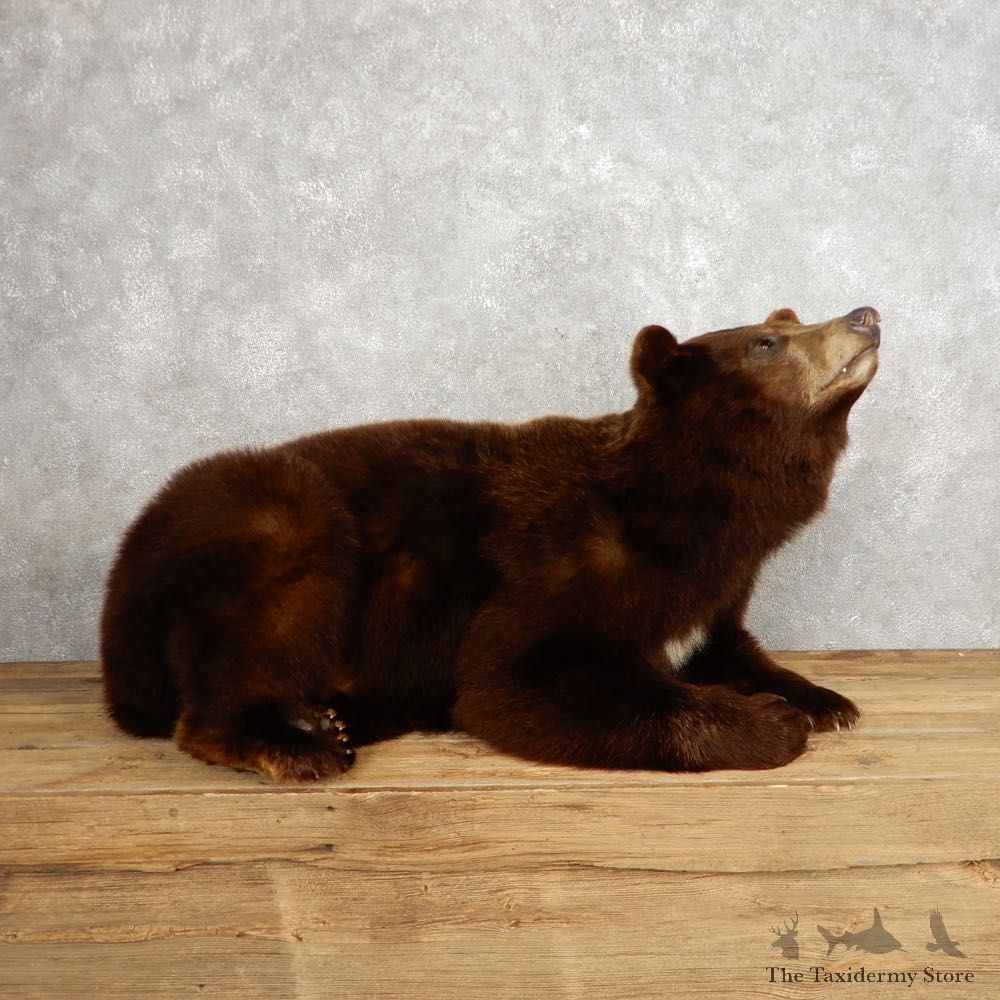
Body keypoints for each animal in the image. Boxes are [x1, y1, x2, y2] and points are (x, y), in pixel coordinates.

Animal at [100, 305, 880, 782]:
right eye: (766, 342)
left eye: (784, 321)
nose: (865, 316)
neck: (697, 512)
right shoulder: (559, 561)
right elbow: (516, 678)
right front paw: (770, 722)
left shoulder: (716, 587)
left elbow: (727, 643)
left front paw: (819, 698)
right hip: (272, 516)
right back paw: (298, 743)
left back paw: (333, 718)